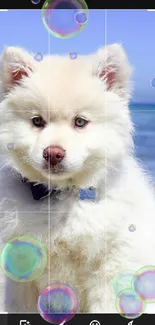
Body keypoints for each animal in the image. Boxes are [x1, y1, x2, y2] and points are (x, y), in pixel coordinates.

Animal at [0, 44, 155, 312]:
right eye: (37, 121)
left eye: (80, 122)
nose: (53, 153)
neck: (61, 198)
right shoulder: (23, 273)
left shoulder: (110, 272)